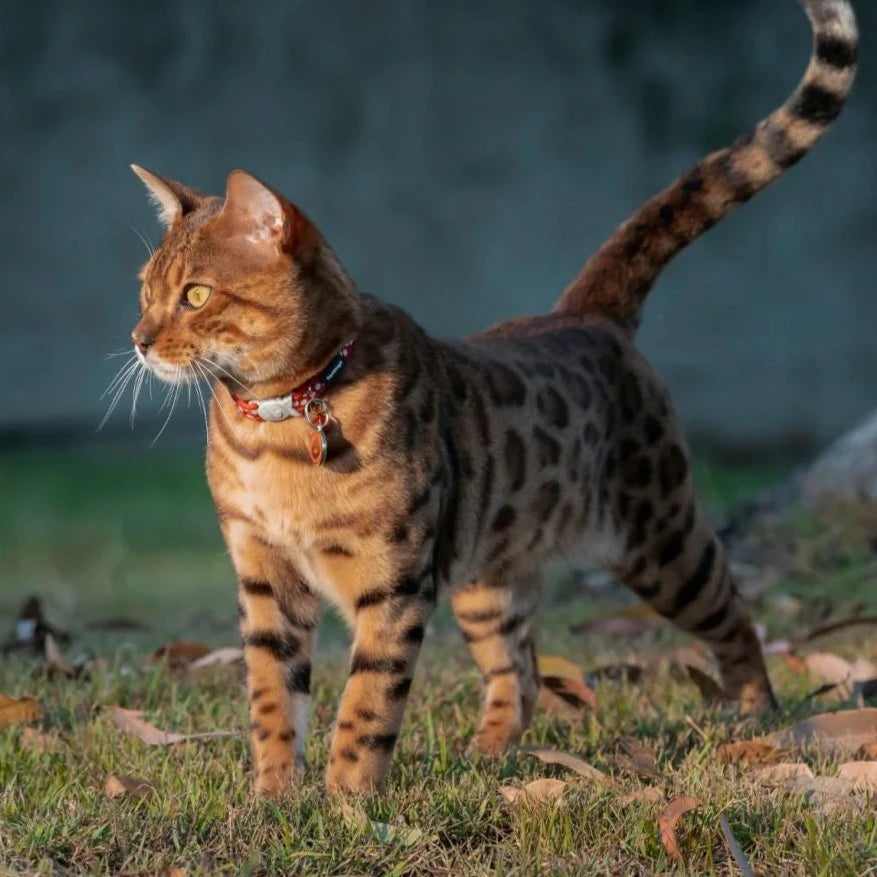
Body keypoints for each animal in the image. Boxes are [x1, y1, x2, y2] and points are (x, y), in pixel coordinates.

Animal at [125, 0, 856, 792]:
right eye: (144, 291)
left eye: (196, 295)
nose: (138, 339)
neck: (277, 420)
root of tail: (585, 313)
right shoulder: (263, 572)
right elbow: (271, 696)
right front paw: (275, 796)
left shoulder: (394, 580)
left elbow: (367, 699)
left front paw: (346, 797)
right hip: (489, 576)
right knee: (522, 672)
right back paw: (491, 751)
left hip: (660, 540)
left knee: (735, 612)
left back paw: (755, 713)